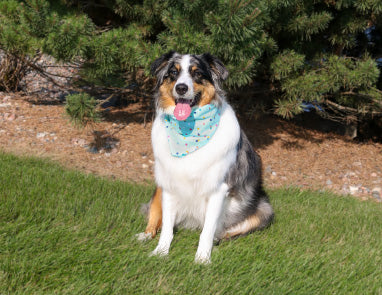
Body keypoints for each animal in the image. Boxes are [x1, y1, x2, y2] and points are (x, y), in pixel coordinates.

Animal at [136, 52, 274, 264]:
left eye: (197, 73)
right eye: (173, 73)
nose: (181, 88)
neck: (188, 133)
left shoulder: (218, 189)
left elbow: (207, 230)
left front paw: (202, 259)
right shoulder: (169, 185)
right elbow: (166, 226)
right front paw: (160, 252)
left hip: (265, 210)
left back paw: (220, 238)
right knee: (154, 216)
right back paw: (145, 235)